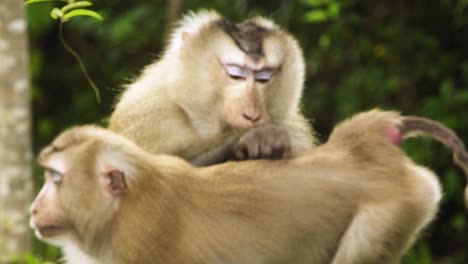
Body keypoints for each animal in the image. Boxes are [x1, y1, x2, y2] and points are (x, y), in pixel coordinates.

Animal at [29, 109, 468, 264]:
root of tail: (366, 145)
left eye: (55, 179)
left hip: (395, 208)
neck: (118, 214)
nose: (33, 208)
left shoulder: (138, 247)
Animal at [109, 10, 314, 165]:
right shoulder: (146, 112)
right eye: (235, 75)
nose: (252, 115)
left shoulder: (292, 126)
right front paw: (252, 138)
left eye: (264, 78)